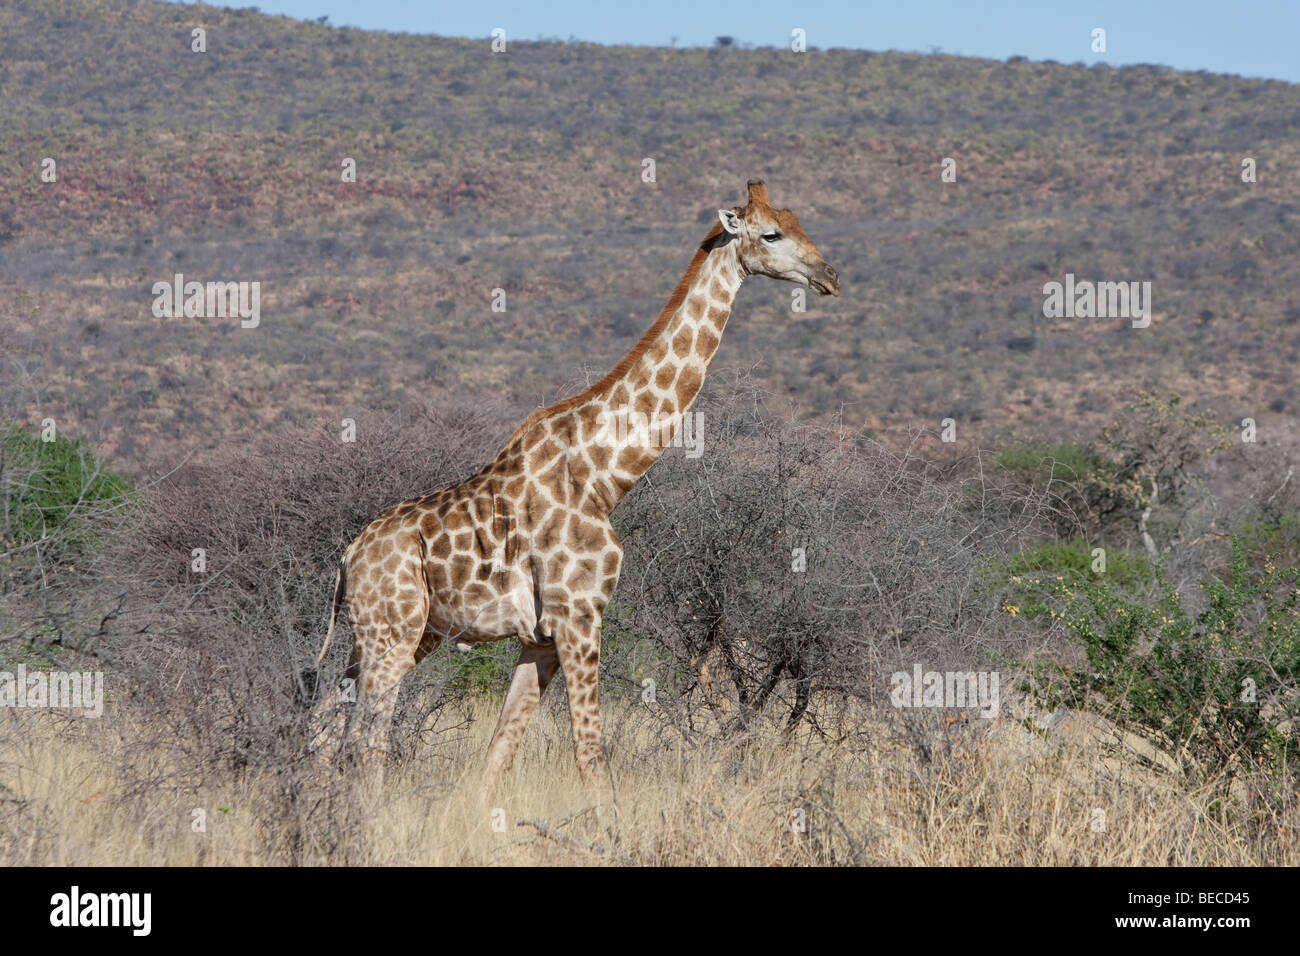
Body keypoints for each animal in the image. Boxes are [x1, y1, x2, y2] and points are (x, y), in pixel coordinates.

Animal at [312, 178, 842, 790]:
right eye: (772, 234)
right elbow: (590, 755)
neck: (605, 474)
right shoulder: (580, 614)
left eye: (800, 221)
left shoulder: (540, 636)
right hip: (392, 633)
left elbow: (499, 753)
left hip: (391, 634)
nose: (830, 276)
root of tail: (348, 558)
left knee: (327, 721)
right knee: (366, 738)